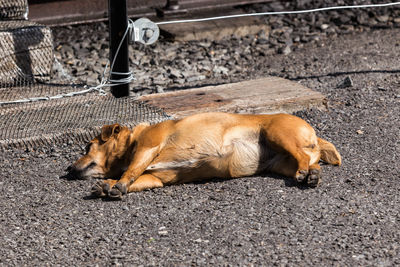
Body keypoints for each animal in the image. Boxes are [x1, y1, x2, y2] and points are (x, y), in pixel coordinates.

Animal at [68, 112, 340, 200]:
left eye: (88, 146)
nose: (69, 169)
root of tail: (314, 134)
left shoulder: (147, 147)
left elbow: (131, 171)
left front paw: (117, 183)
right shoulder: (155, 179)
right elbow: (136, 177)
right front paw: (108, 185)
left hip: (277, 134)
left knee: (304, 157)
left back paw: (306, 173)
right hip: (282, 163)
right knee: (313, 161)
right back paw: (313, 175)